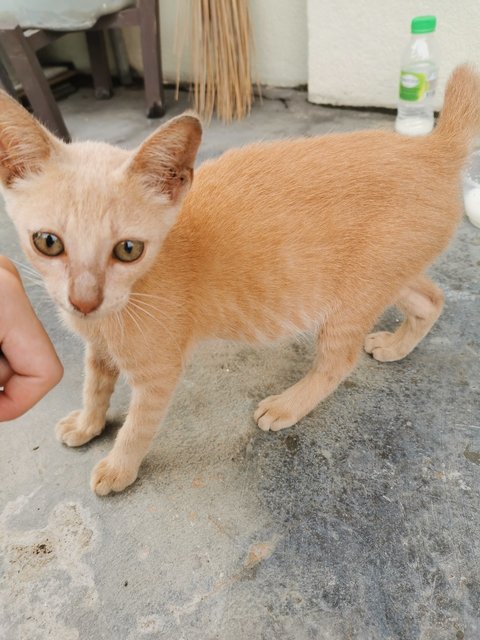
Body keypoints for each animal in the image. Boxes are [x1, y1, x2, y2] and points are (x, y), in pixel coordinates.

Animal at [1, 65, 478, 496]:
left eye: (128, 249)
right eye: (48, 242)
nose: (84, 300)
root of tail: (433, 148)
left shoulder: (159, 372)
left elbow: (137, 426)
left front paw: (119, 468)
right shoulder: (98, 350)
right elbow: (95, 387)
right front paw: (88, 424)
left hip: (351, 300)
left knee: (339, 361)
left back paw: (288, 404)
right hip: (387, 276)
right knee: (431, 298)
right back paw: (397, 346)